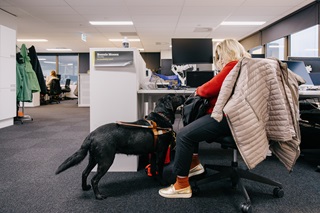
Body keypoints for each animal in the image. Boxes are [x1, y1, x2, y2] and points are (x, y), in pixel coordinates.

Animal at [56, 94, 184, 199]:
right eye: (174, 96)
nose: (183, 95)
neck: (162, 117)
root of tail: (91, 135)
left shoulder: (153, 152)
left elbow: (153, 168)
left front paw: (154, 178)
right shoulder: (161, 151)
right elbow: (160, 168)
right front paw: (162, 182)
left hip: (94, 158)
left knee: (84, 173)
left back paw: (85, 187)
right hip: (106, 160)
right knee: (94, 179)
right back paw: (99, 196)